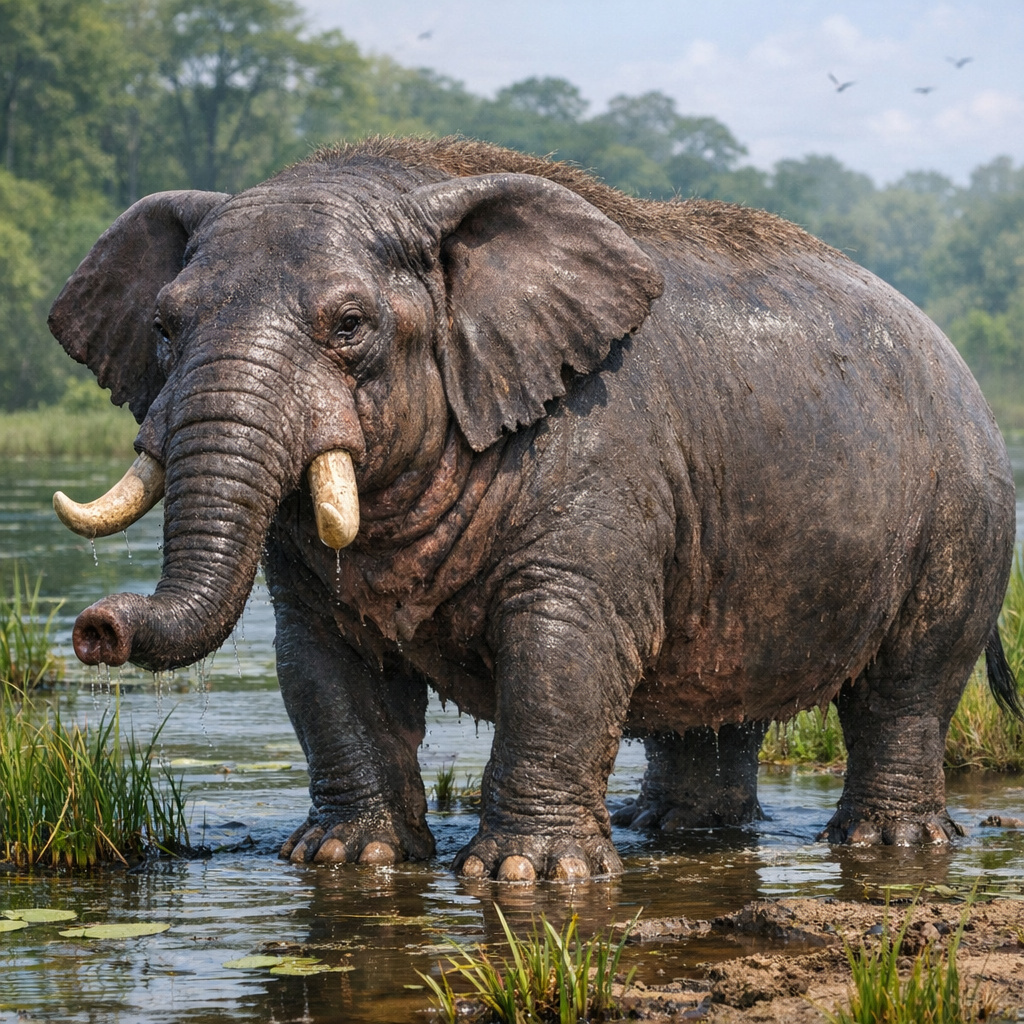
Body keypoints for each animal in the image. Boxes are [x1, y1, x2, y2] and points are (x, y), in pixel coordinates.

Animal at [49, 137, 1020, 881]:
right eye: (165, 329)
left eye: (351, 325)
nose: (96, 627)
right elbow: (319, 660)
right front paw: (344, 860)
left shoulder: (605, 454)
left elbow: (564, 645)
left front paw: (528, 875)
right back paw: (670, 831)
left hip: (965, 511)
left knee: (908, 684)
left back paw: (889, 844)